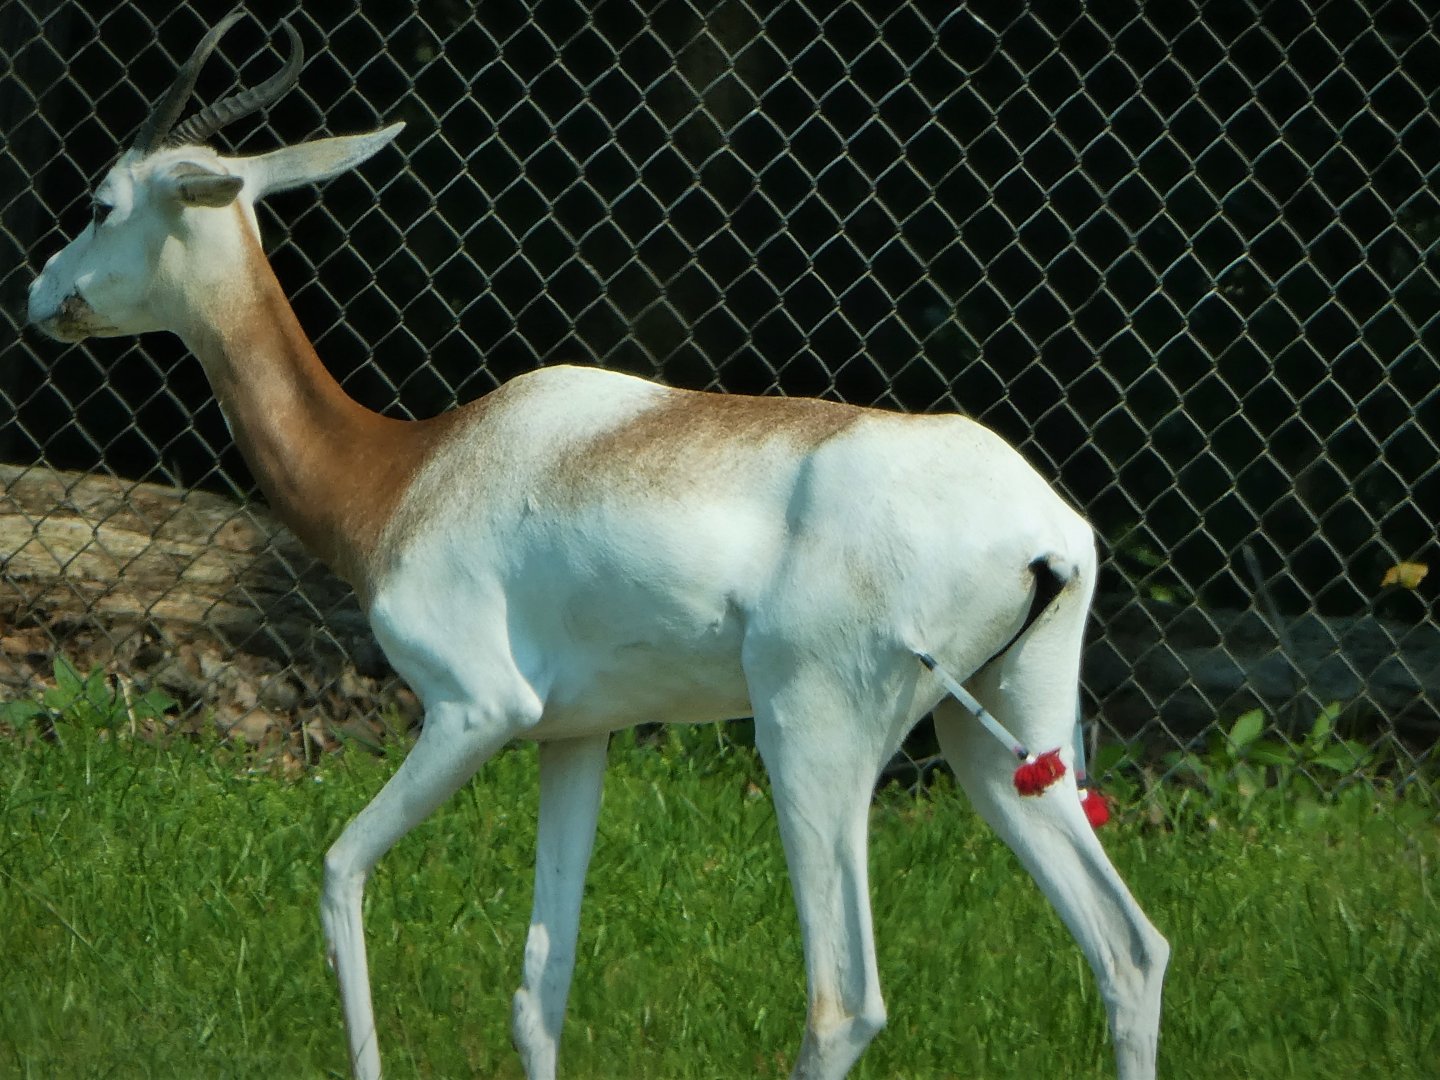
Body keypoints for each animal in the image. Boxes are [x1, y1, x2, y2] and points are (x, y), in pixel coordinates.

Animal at [26, 11, 1168, 1080]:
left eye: (100, 204)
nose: (36, 296)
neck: (404, 473)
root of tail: (1046, 532)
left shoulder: (476, 709)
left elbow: (339, 868)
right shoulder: (574, 738)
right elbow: (541, 987)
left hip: (815, 734)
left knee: (844, 1002)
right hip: (1001, 733)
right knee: (1131, 951)